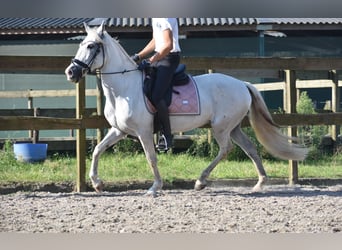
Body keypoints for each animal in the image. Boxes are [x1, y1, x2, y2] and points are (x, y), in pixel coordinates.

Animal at [65, 23, 308, 195]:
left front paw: (155, 187)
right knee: (249, 148)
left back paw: (201, 181)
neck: (124, 88)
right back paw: (260, 183)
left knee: (225, 149)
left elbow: (151, 157)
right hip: (234, 127)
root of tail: (242, 84)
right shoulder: (119, 130)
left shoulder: (144, 132)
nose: (71, 72)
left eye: (91, 46)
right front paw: (97, 184)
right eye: (81, 44)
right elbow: (97, 150)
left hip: (221, 127)